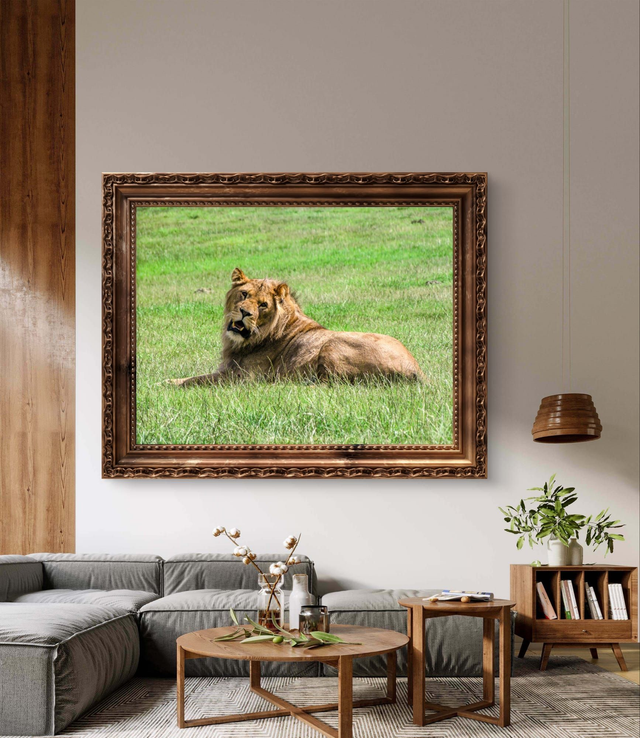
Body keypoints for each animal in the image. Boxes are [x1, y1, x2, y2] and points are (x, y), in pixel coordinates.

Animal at [170, 268, 425, 386]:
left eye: (263, 305)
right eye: (244, 294)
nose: (245, 313)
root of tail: (415, 368)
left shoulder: (242, 378)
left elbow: (197, 380)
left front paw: (168, 383)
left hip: (333, 345)